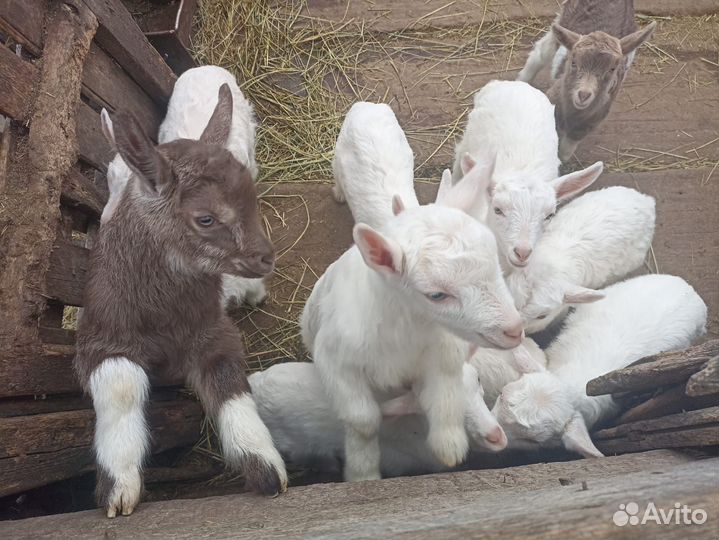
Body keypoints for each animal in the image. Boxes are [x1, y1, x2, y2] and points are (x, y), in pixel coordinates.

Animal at [74, 85, 287, 518]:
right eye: (206, 218)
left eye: (252, 200)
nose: (266, 258)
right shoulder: (101, 335)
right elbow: (121, 386)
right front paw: (119, 486)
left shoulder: (213, 331)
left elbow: (229, 385)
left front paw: (265, 465)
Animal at [517, 0, 656, 161]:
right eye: (573, 62)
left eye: (612, 69)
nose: (583, 95)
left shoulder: (589, 123)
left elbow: (564, 154)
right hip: (563, 20)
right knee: (542, 52)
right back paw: (522, 80)